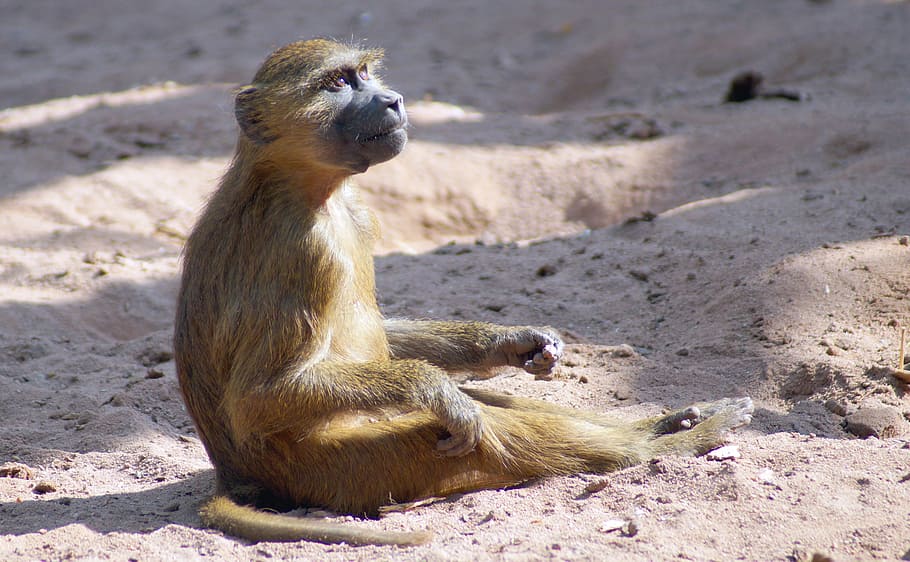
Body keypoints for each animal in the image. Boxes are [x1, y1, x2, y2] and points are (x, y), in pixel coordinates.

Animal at [173, 38, 754, 547]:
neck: (306, 189)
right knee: (488, 429)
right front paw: (432, 388)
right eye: (337, 82)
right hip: (341, 466)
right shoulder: (301, 252)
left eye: (366, 73)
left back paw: (666, 425)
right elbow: (261, 396)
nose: (393, 99)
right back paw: (676, 442)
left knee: (501, 405)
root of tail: (239, 477)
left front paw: (517, 343)